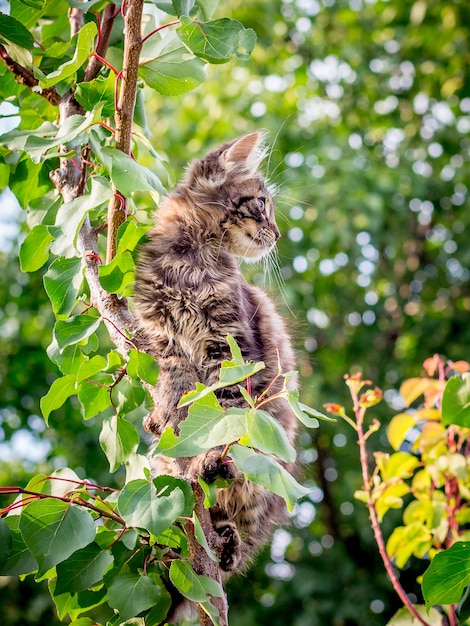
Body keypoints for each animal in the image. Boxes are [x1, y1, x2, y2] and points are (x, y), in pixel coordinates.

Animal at [134, 132, 300, 580]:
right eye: (260, 203)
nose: (278, 233)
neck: (189, 265)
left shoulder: (230, 348)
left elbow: (223, 412)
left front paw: (204, 456)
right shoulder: (165, 341)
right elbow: (177, 394)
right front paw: (168, 424)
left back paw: (227, 534)